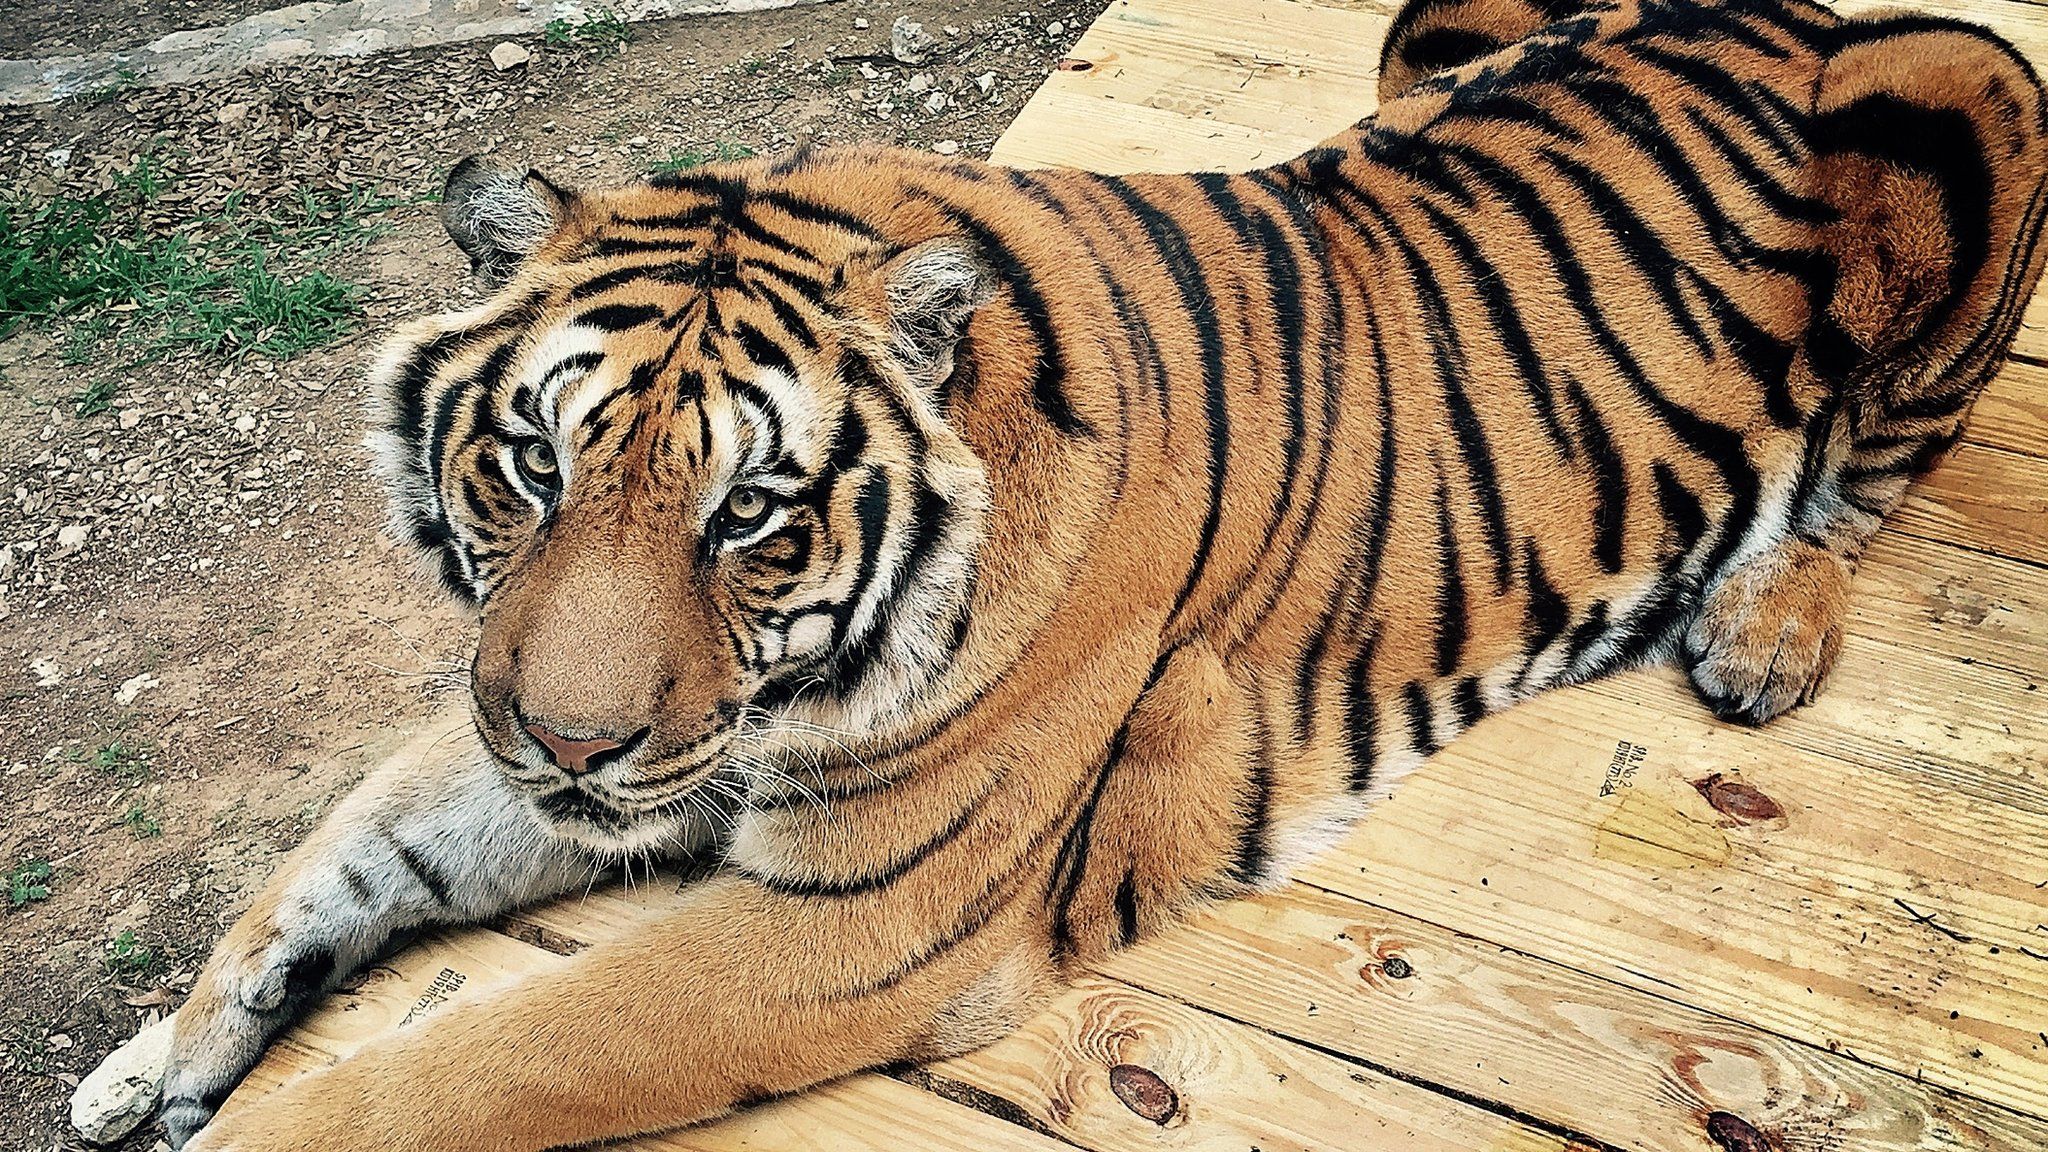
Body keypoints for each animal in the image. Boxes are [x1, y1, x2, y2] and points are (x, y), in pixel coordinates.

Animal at [159, 0, 2048, 1139]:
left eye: (752, 514)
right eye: (537, 465)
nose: (568, 747)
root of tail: (1784, 6)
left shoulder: (865, 921)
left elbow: (480, 1062)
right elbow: (362, 835)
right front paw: (173, 1052)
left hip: (1962, 80)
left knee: (1874, 465)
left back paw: (1760, 625)